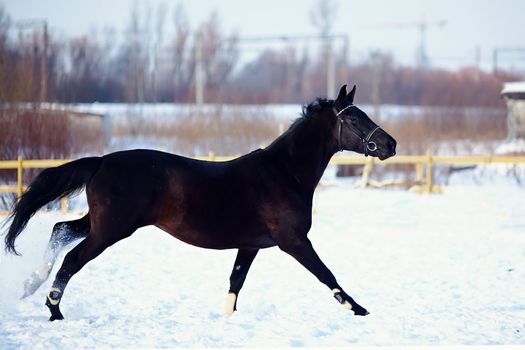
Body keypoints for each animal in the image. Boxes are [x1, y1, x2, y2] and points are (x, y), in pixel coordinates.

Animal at [3, 85, 392, 320]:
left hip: (101, 223)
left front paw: (226, 318)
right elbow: (326, 273)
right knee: (71, 257)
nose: (390, 145)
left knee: (60, 229)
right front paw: (359, 309)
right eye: (354, 118)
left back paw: (31, 286)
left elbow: (236, 282)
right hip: (112, 229)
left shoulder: (251, 245)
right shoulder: (293, 241)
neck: (284, 173)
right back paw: (53, 310)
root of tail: (101, 161)